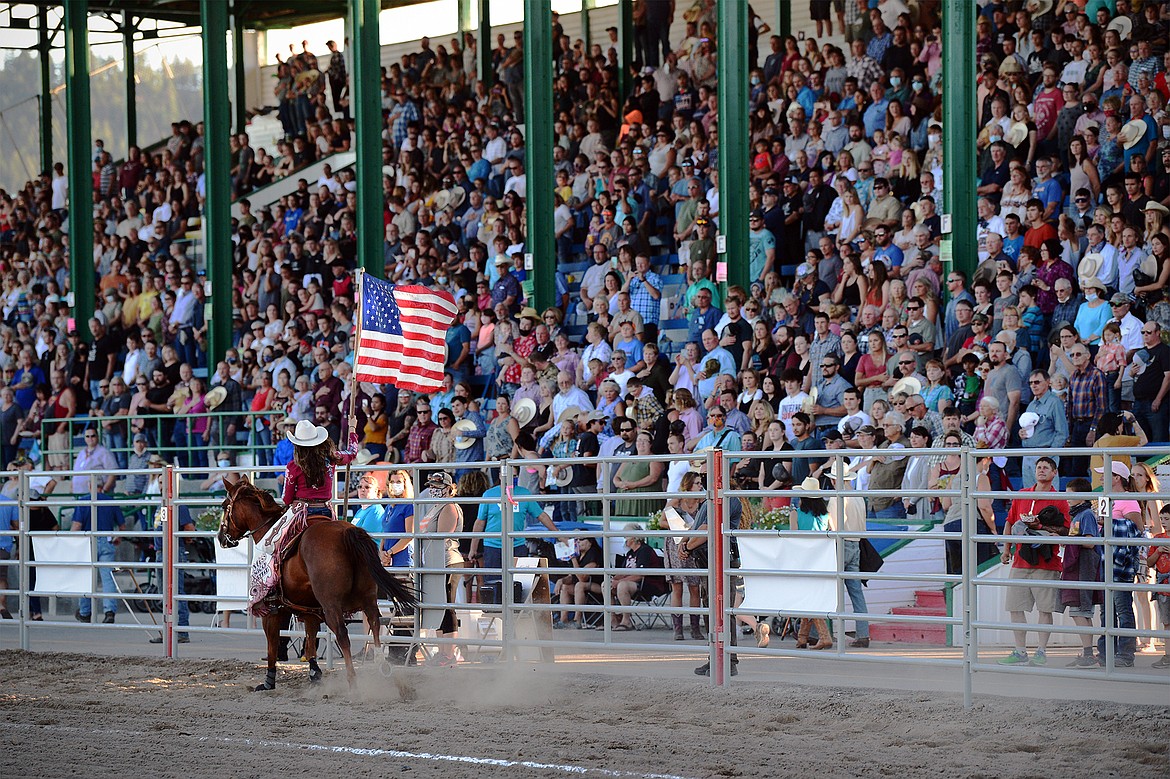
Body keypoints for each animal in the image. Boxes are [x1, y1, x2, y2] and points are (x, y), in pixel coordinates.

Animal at [216, 472, 416, 687]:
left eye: (225, 505)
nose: (221, 537)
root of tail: (347, 532)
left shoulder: (272, 609)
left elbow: (272, 644)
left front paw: (269, 681)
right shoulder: (310, 610)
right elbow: (310, 640)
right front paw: (314, 673)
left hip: (331, 605)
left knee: (342, 635)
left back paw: (353, 681)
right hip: (368, 598)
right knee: (375, 623)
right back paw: (381, 667)